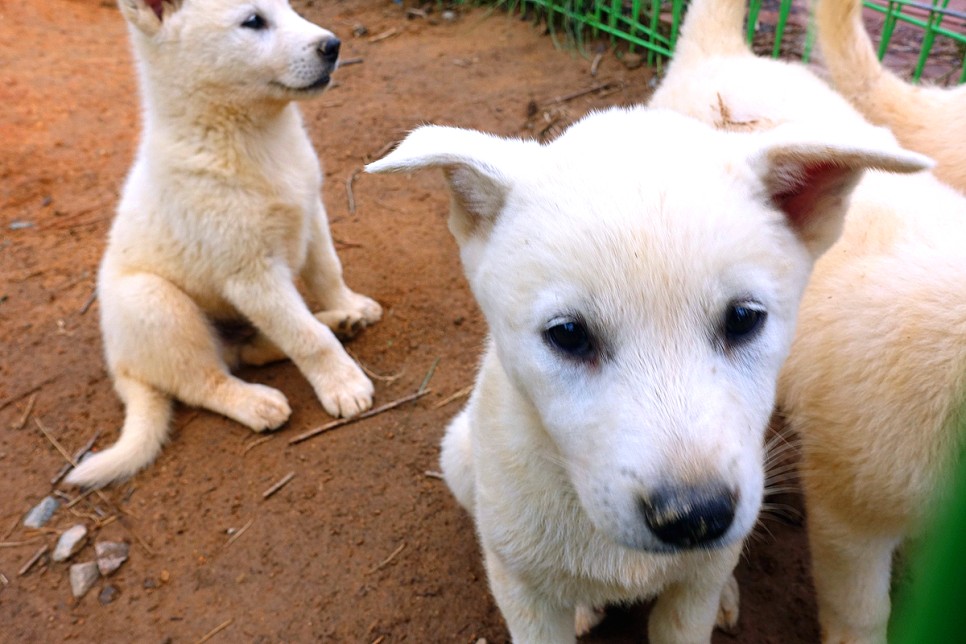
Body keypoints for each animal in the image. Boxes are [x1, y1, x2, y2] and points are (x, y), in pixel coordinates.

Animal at [69, 0, 382, 486]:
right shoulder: (251, 272)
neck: (252, 138)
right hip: (156, 305)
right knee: (204, 380)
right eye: (253, 21)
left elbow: (328, 273)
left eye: (289, 8)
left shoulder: (311, 212)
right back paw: (257, 403)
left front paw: (348, 304)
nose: (333, 45)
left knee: (249, 349)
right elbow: (306, 338)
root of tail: (122, 365)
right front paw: (343, 386)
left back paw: (338, 321)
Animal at [366, 107, 928, 644]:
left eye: (743, 319)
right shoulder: (522, 591)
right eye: (568, 334)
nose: (695, 517)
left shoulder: (690, 596)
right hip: (459, 455)